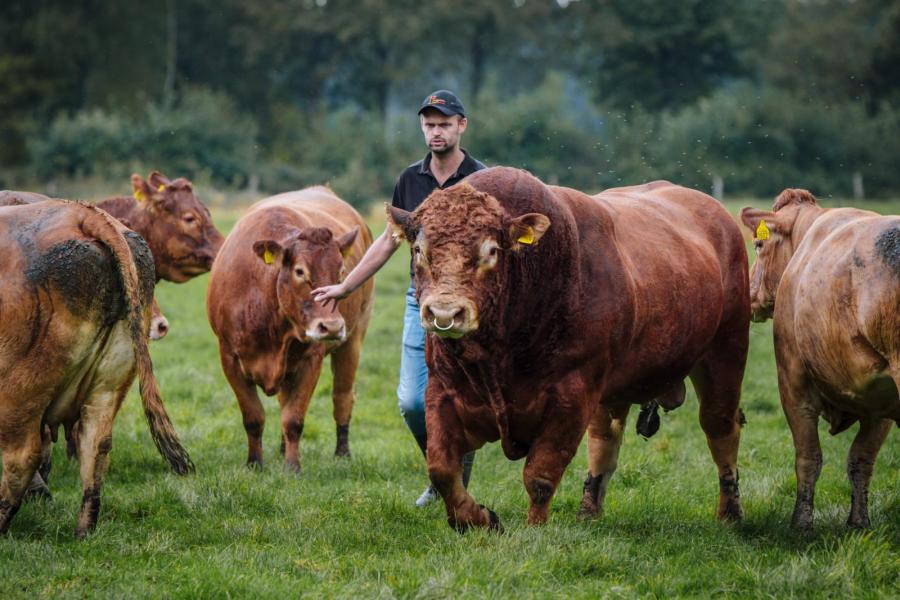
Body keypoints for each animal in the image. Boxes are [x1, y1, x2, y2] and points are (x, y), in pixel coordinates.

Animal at [0, 199, 193, 537]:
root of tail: (83, 213)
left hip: (18, 392)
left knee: (23, 456)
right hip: (109, 382)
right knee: (96, 446)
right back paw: (83, 532)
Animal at [207, 186, 374, 472]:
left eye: (342, 273)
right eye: (300, 272)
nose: (331, 326)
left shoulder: (310, 359)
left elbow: (294, 419)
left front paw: (292, 467)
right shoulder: (229, 357)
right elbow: (253, 416)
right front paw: (254, 463)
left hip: (353, 340)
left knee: (342, 398)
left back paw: (342, 453)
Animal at [387, 167, 749, 531]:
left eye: (490, 251)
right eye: (418, 250)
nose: (445, 313)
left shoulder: (571, 396)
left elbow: (540, 476)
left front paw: (534, 530)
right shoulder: (443, 391)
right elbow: (442, 470)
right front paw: (480, 518)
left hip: (726, 350)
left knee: (721, 427)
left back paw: (730, 512)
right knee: (606, 437)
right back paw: (589, 510)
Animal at [740, 189, 899, 529]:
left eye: (758, 244)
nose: (748, 293)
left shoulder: (793, 385)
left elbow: (808, 457)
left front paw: (800, 524)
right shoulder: (881, 404)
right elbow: (861, 459)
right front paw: (859, 522)